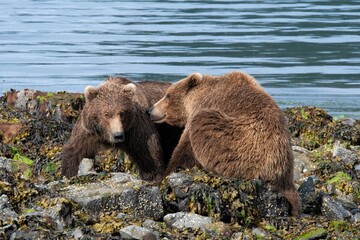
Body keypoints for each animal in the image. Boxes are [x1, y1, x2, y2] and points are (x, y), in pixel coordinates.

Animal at [148, 71, 300, 216]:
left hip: (240, 147)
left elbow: (185, 149)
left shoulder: (205, 105)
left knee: (205, 122)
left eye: (168, 95)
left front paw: (165, 174)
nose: (150, 110)